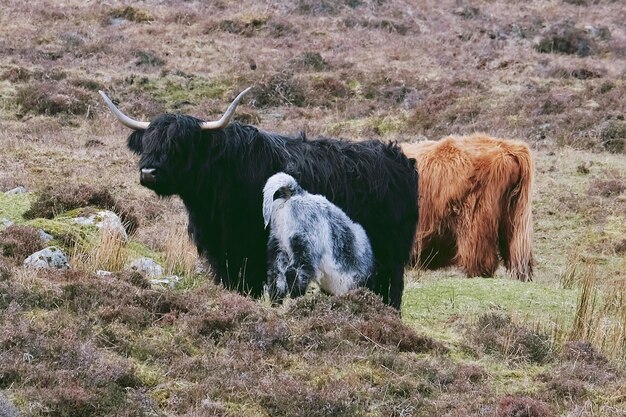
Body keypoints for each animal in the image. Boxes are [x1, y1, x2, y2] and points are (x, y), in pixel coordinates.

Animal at [100, 88, 416, 308]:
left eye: (179, 144)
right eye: (147, 142)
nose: (149, 172)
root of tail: (397, 157)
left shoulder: (250, 248)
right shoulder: (221, 249)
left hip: (389, 253)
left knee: (391, 289)